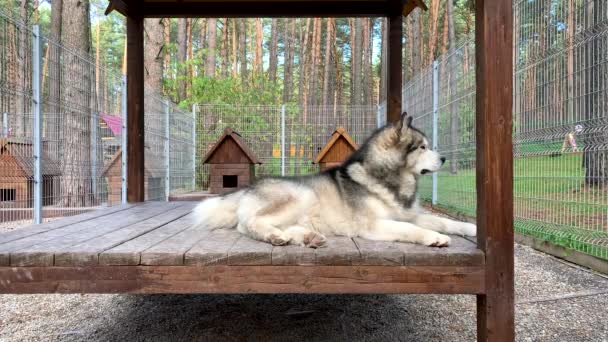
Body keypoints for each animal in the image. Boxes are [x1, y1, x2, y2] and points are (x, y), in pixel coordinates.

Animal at [194, 113, 476, 248]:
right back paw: (275, 236)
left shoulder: (409, 214)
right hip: (301, 195)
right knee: (248, 224)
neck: (389, 179)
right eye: (423, 147)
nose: (444, 159)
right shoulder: (373, 225)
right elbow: (410, 229)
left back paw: (306, 238)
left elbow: (443, 221)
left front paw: (470, 227)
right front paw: (433, 237)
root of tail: (248, 187)